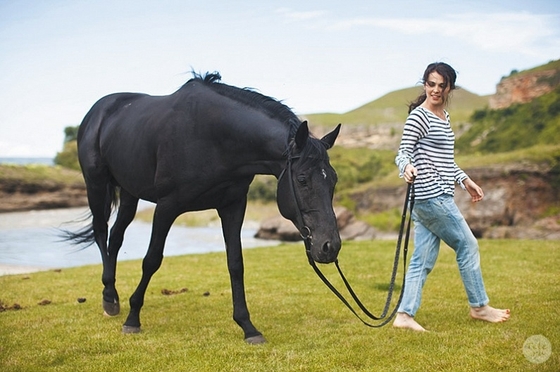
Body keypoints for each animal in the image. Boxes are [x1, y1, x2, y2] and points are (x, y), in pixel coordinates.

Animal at [69, 71, 342, 344]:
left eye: (333, 179)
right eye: (302, 179)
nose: (330, 246)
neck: (212, 138)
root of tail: (99, 110)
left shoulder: (233, 206)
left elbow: (236, 263)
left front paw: (248, 327)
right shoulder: (167, 206)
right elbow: (152, 260)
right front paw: (133, 318)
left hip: (129, 193)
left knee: (115, 237)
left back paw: (113, 298)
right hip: (96, 185)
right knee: (101, 232)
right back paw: (109, 299)